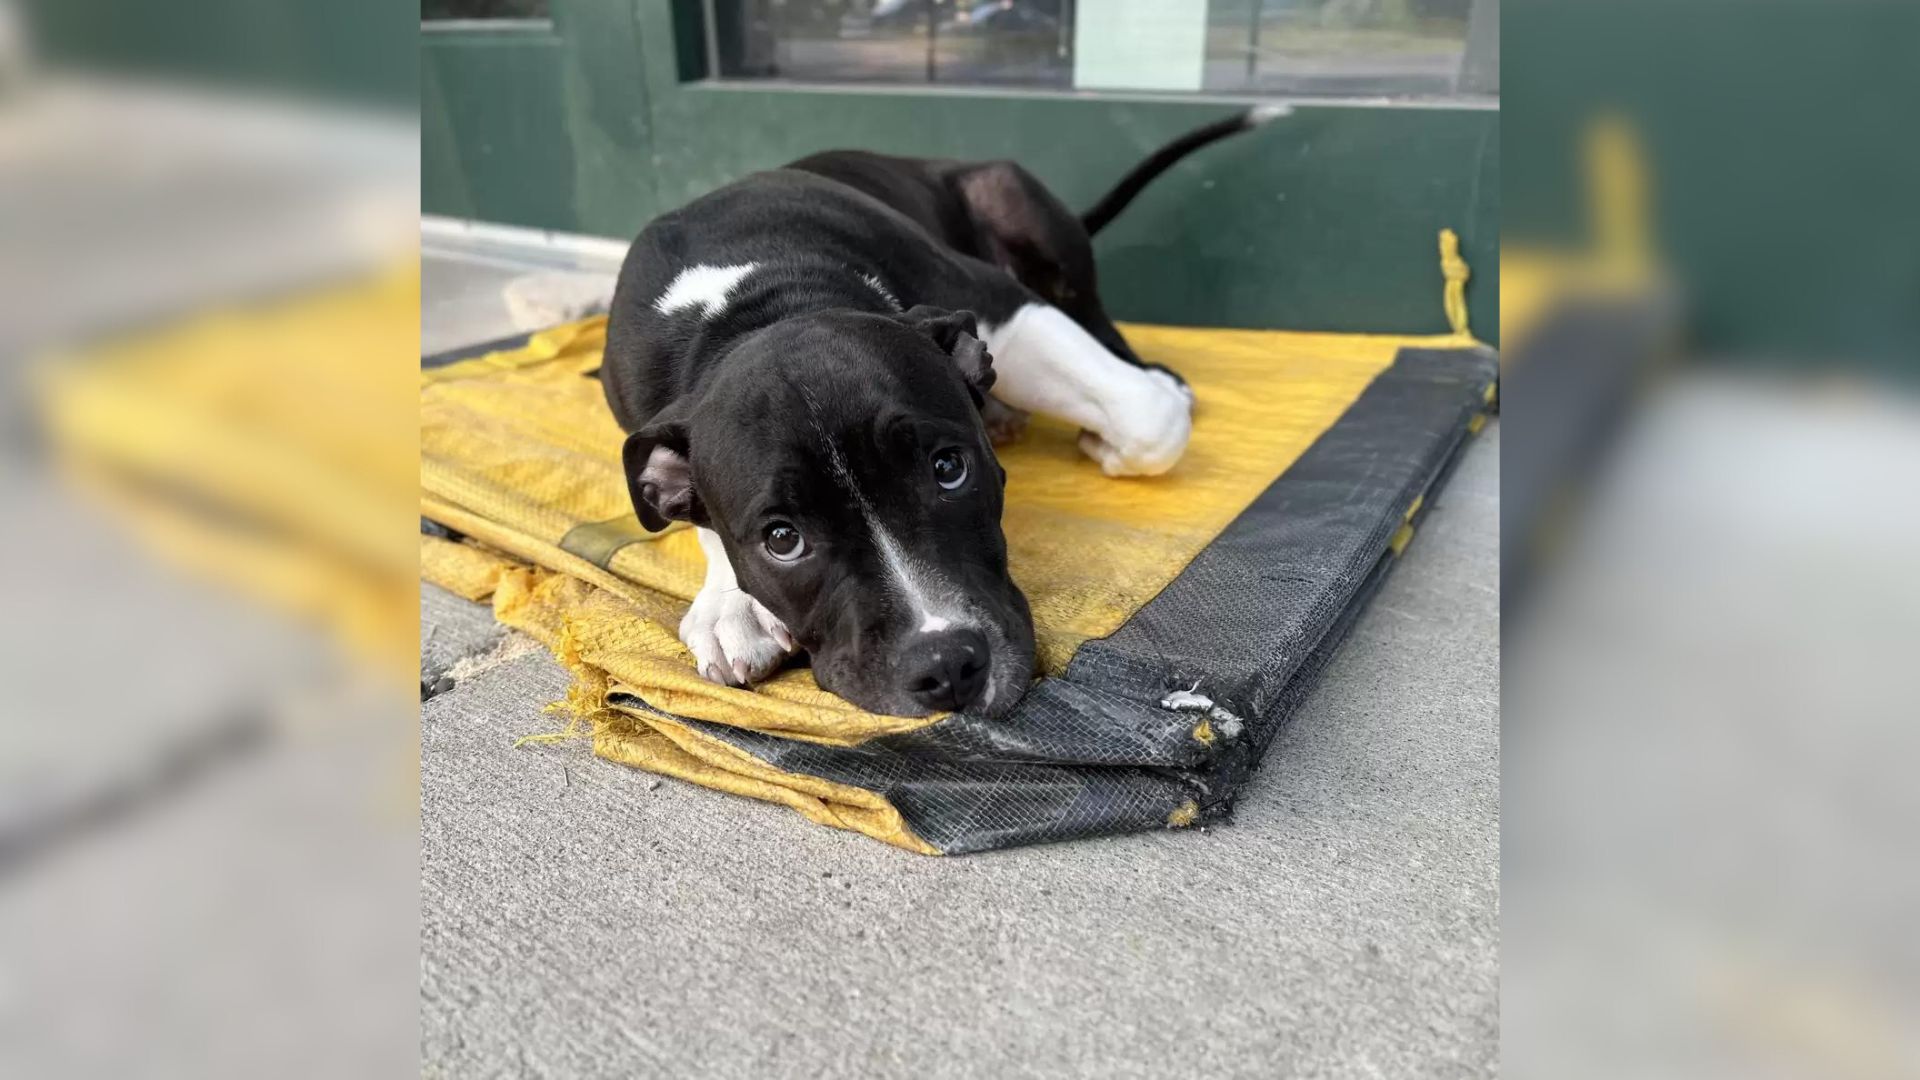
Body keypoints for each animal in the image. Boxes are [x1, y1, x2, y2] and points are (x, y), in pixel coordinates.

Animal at [606, 107, 1282, 714]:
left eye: (948, 468)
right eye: (781, 540)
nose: (947, 663)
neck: (759, 303)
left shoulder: (1002, 304)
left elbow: (1146, 418)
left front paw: (1116, 430)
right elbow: (697, 510)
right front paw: (732, 603)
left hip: (1013, 199)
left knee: (1100, 324)